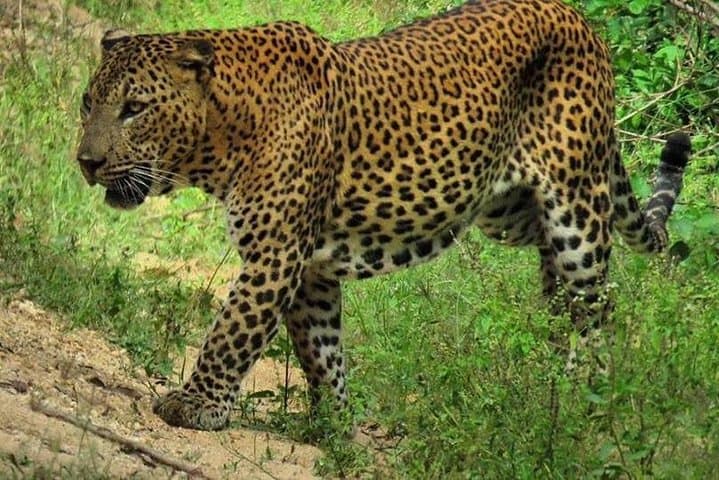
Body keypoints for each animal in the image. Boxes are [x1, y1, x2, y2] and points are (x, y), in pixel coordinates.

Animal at [76, 0, 690, 431]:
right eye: (88, 103)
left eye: (134, 109)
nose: (86, 161)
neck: (222, 133)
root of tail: (582, 20)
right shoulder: (312, 267)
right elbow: (320, 350)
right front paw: (334, 425)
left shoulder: (276, 253)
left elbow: (233, 332)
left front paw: (195, 405)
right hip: (511, 215)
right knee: (560, 300)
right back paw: (550, 390)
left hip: (575, 213)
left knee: (599, 308)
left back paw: (587, 401)